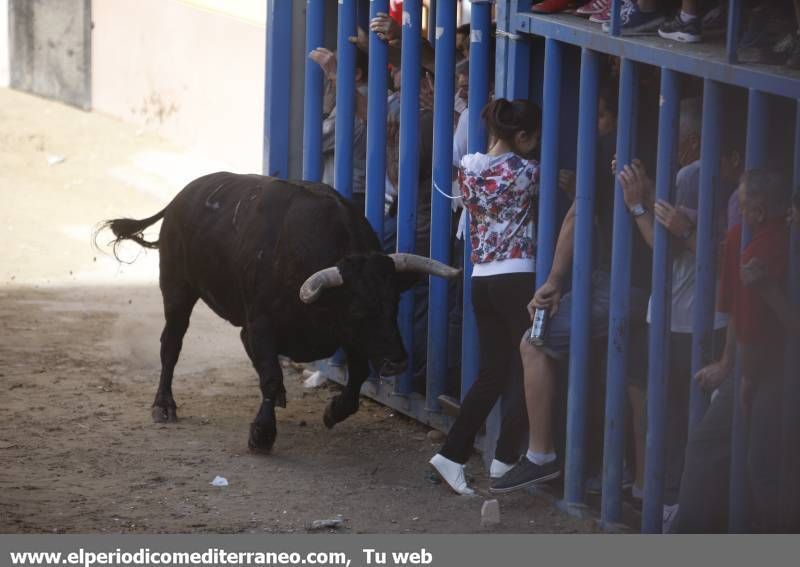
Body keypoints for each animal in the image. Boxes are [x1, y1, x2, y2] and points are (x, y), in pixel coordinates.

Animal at [103, 173, 460, 452]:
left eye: (394, 303)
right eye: (359, 310)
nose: (397, 361)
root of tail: (180, 198)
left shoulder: (351, 337)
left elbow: (356, 376)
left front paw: (333, 411)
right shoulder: (262, 324)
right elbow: (271, 375)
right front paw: (261, 435)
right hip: (177, 291)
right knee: (171, 346)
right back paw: (163, 405)